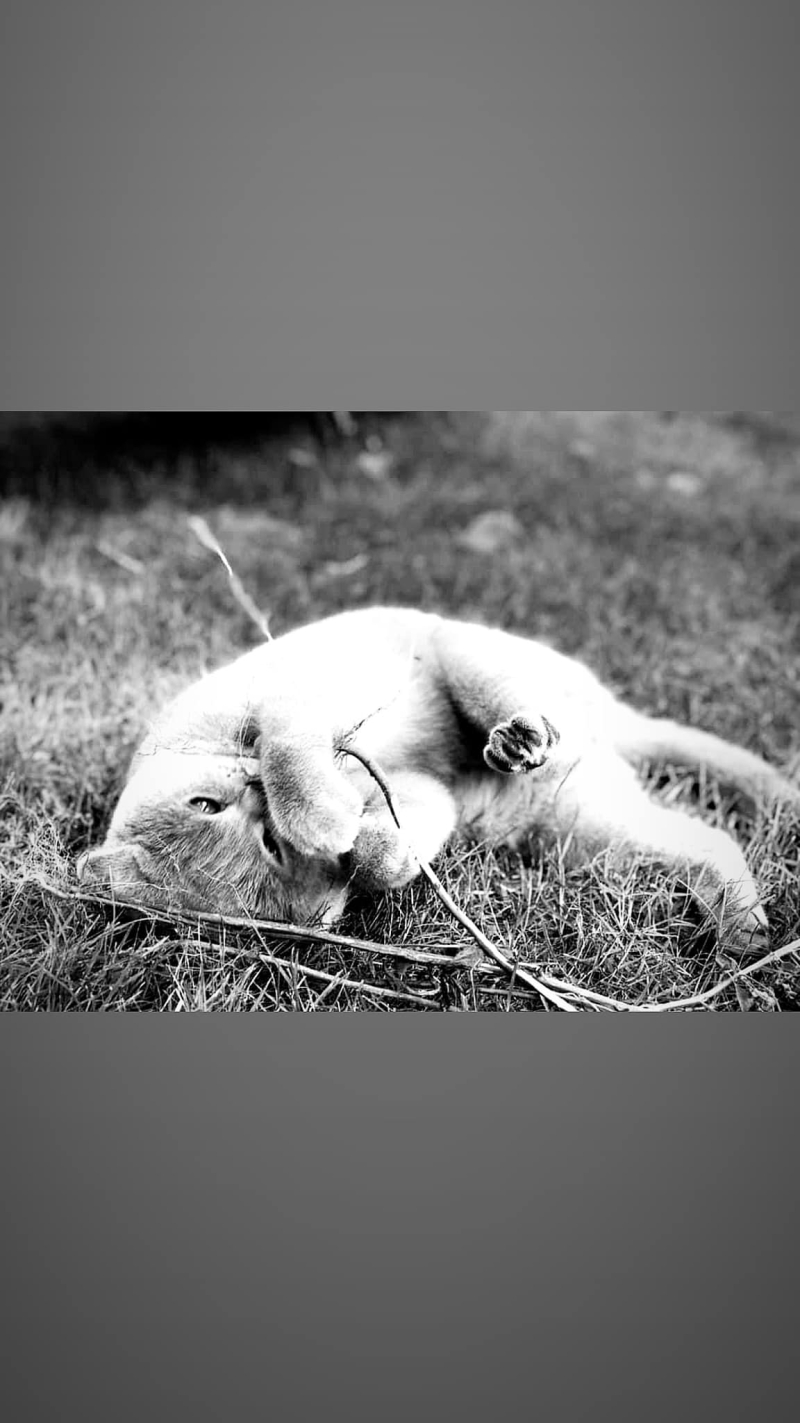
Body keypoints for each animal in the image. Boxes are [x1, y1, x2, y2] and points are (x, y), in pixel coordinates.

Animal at [77, 606, 799, 951]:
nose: (255, 801)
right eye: (271, 852)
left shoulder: (290, 703)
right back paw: (742, 931)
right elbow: (387, 854)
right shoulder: (424, 798)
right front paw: (355, 842)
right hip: (585, 832)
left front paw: (318, 812)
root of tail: (612, 718)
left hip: (463, 650)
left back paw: (515, 736)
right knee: (709, 841)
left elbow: (285, 749)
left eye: (205, 803)